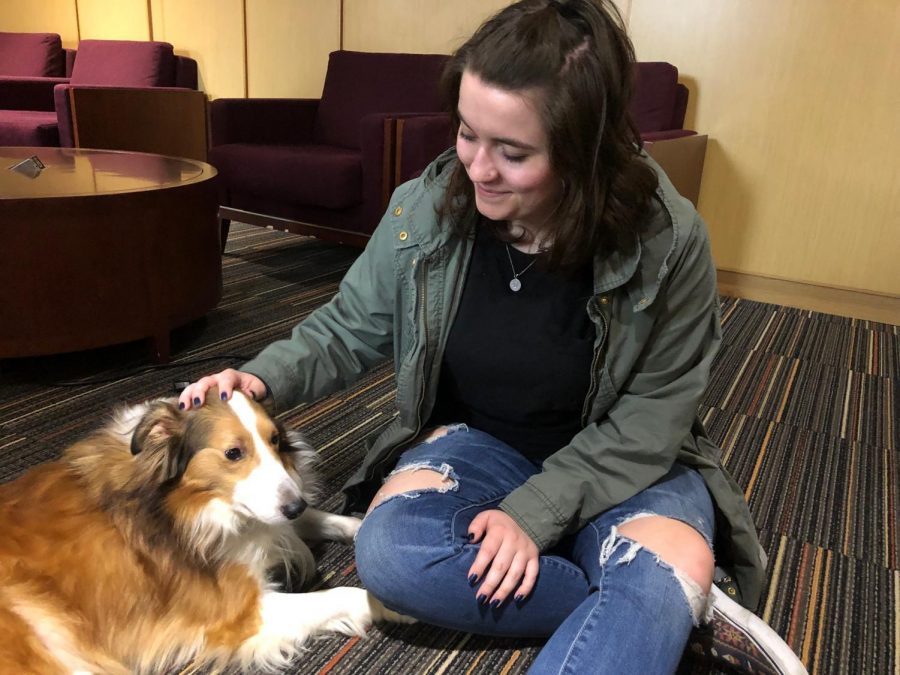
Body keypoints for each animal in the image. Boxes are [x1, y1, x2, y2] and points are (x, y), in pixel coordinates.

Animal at [0, 390, 408, 675]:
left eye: (275, 440)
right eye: (233, 453)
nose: (295, 505)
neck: (181, 502)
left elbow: (325, 521)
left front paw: (361, 526)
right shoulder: (241, 610)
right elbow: (338, 595)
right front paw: (393, 603)